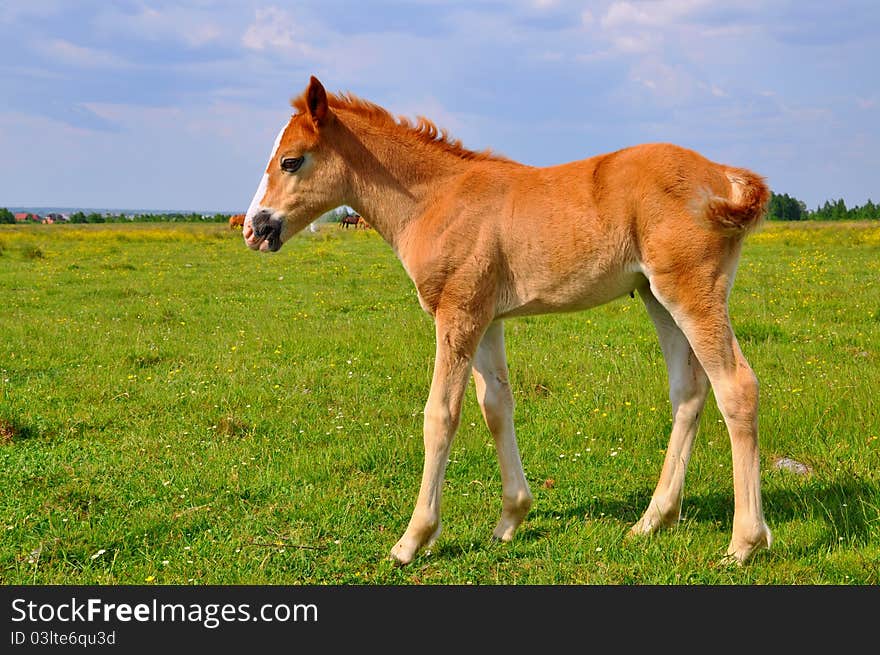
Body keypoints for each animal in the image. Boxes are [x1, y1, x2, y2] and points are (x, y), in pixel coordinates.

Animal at [241, 75, 768, 568]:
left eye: (291, 161)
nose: (254, 229)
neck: (436, 200)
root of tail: (724, 177)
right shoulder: (485, 317)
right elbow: (495, 405)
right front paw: (511, 518)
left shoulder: (456, 314)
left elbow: (441, 415)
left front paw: (412, 539)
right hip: (656, 298)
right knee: (688, 392)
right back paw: (652, 521)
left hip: (691, 292)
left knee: (736, 385)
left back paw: (744, 543)